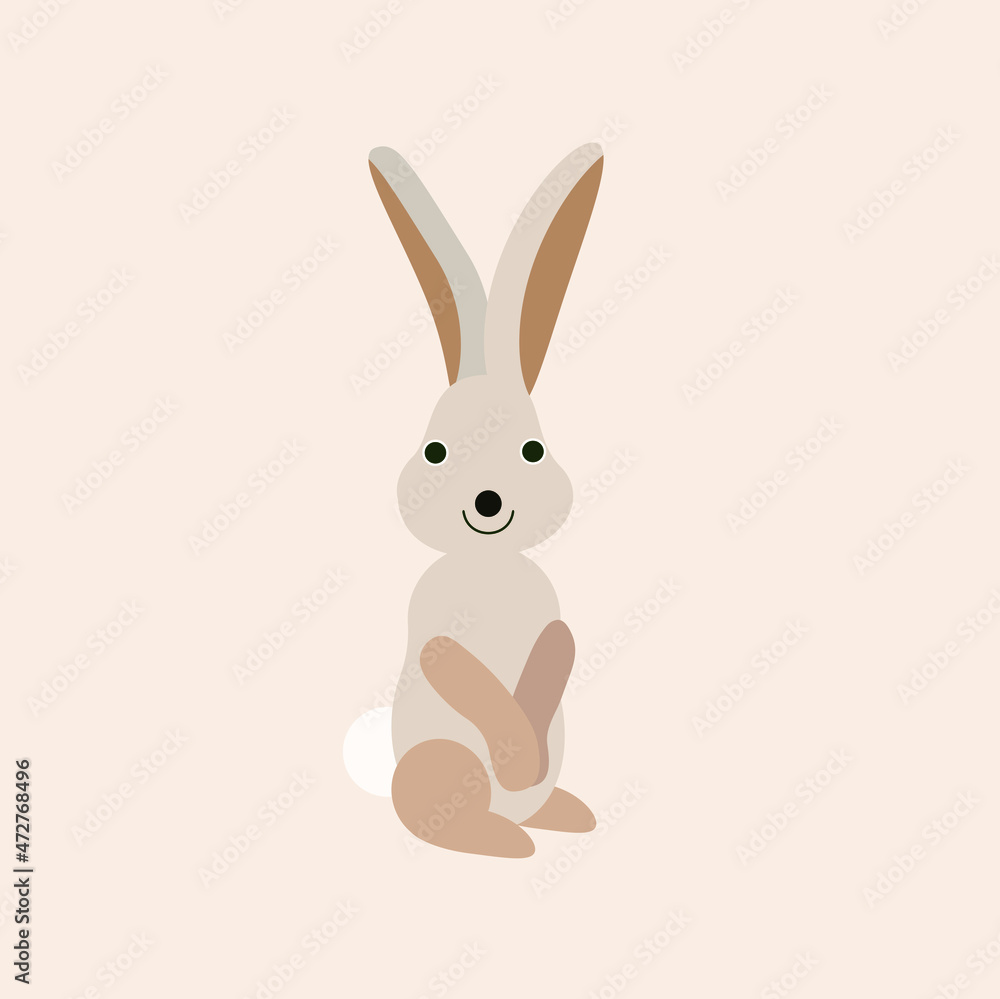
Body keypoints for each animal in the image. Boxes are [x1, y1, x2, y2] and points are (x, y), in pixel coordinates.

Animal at [347, 142, 604, 858]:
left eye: (533, 451)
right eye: (435, 452)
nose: (488, 502)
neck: (490, 569)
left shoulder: (551, 623)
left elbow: (557, 649)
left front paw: (530, 758)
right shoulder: (438, 635)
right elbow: (463, 675)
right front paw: (517, 756)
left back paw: (565, 814)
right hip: (444, 762)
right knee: (440, 818)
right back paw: (504, 838)